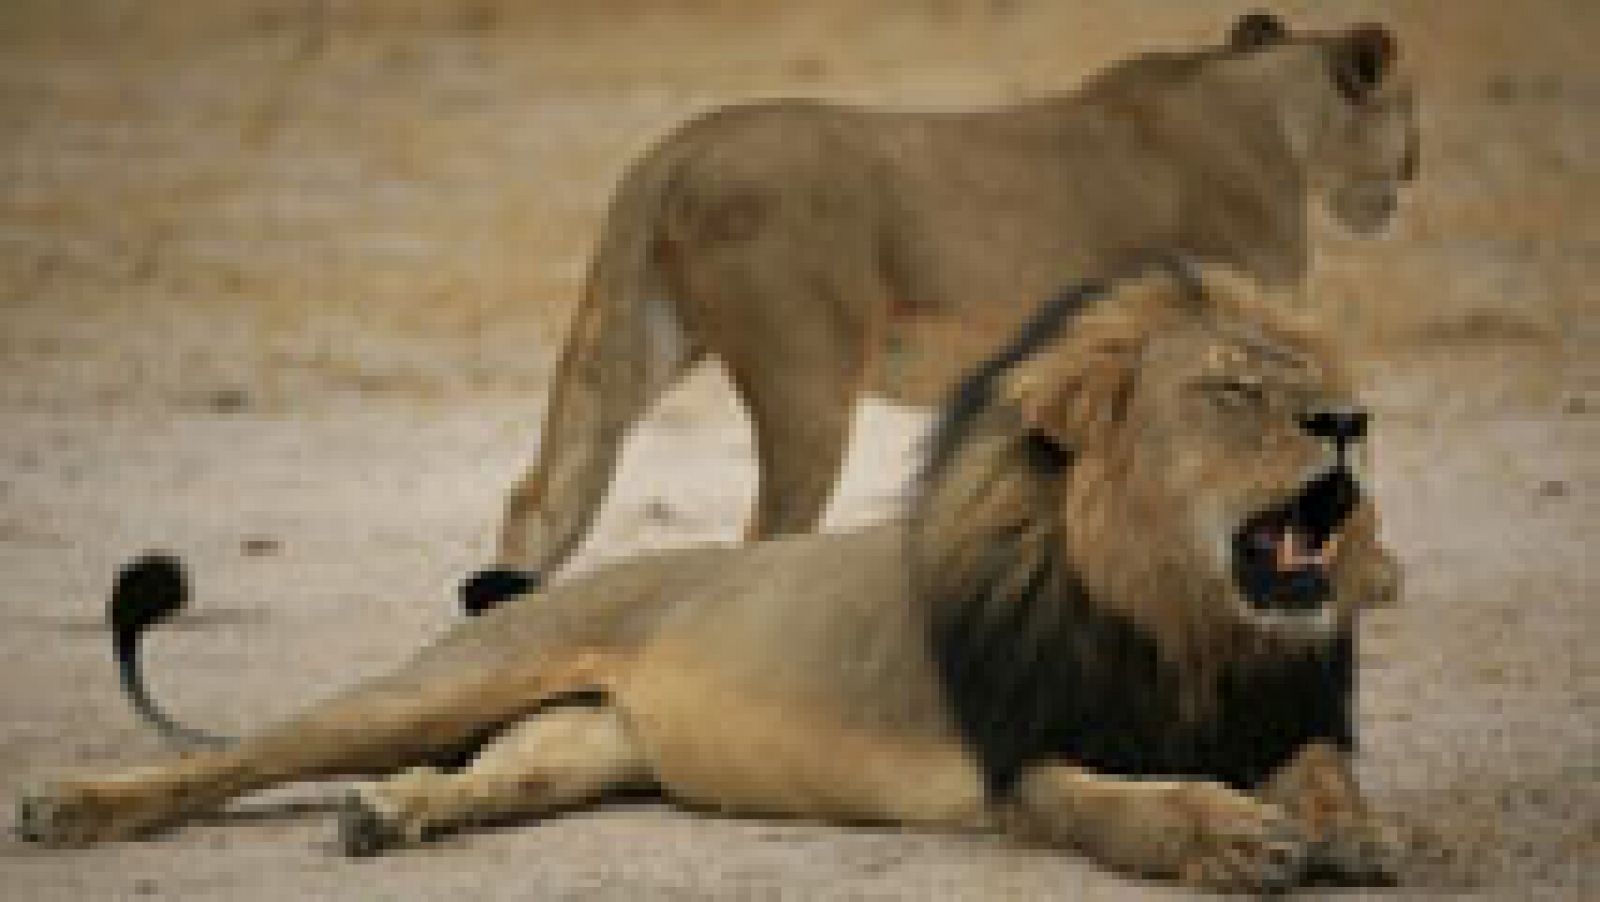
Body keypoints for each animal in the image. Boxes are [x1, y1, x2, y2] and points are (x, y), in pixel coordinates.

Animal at [17, 261, 1407, 893]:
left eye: (1312, 375)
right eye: (1232, 388)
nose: (1350, 420)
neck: (1180, 620)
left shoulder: (1277, 710)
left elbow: (1322, 769)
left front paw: (1356, 829)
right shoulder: (1021, 759)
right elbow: (1126, 804)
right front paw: (1227, 833)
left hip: (578, 747)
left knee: (480, 776)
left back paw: (387, 815)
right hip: (441, 681)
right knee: (239, 756)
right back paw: (73, 805)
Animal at [464, 12, 1420, 610]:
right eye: (1409, 112)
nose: (1409, 177)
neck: (1275, 115)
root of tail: (672, 150)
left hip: (633, 340)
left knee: (543, 494)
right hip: (808, 376)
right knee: (767, 531)